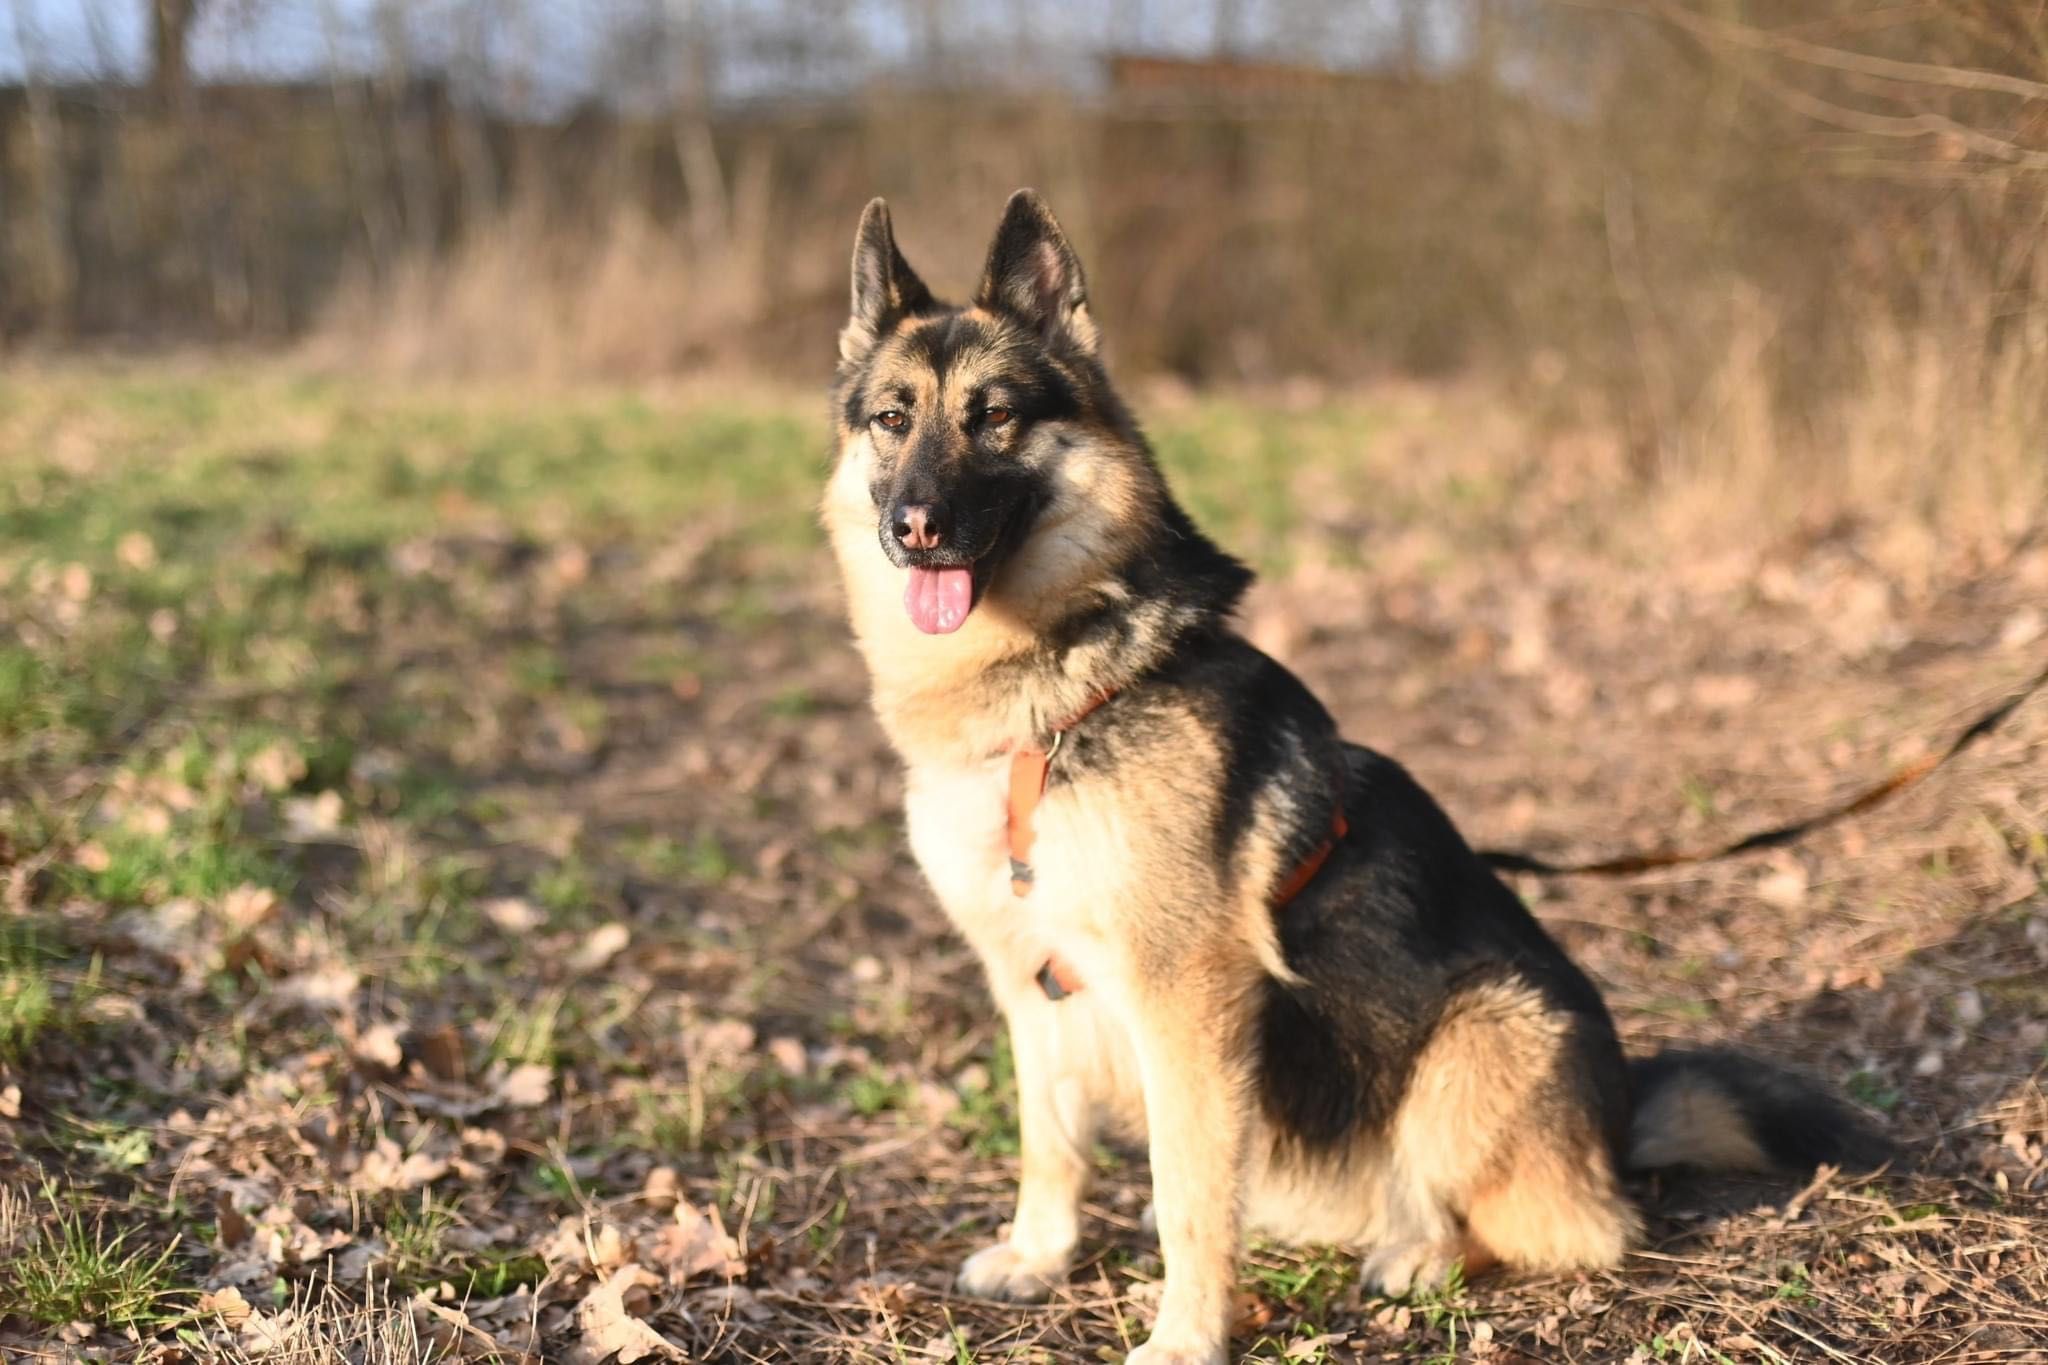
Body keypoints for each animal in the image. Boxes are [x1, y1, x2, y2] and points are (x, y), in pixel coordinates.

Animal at [823, 192, 1892, 1365]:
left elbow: (1191, 1192)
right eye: (892, 419)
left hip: (1486, 1031)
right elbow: (1049, 1140)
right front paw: (1038, 1255)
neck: (1057, 692)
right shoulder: (1028, 982)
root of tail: (1617, 1125)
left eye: (997, 417)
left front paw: (1185, 1335)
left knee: (1573, 1229)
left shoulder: (1184, 999)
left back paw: (1422, 1253)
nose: (914, 527)